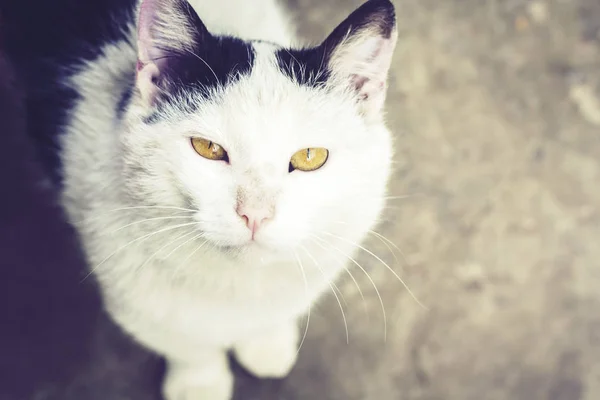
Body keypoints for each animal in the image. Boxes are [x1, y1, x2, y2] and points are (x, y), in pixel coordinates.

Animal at [58, 0, 398, 398]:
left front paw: (266, 344)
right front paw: (199, 382)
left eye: (310, 156)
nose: (255, 213)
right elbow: (184, 342)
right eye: (207, 148)